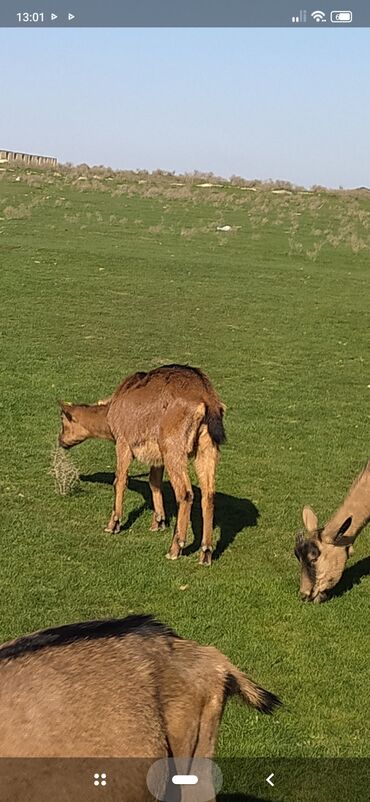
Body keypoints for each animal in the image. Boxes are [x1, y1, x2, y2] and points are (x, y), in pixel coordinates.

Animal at [58, 362, 225, 564]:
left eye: (62, 421)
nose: (61, 441)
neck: (110, 414)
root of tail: (207, 400)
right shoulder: (157, 456)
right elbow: (154, 482)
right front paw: (158, 522)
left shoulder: (123, 442)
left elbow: (120, 480)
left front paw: (113, 524)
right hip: (207, 447)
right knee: (208, 494)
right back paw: (205, 552)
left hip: (173, 447)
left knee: (185, 493)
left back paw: (175, 548)